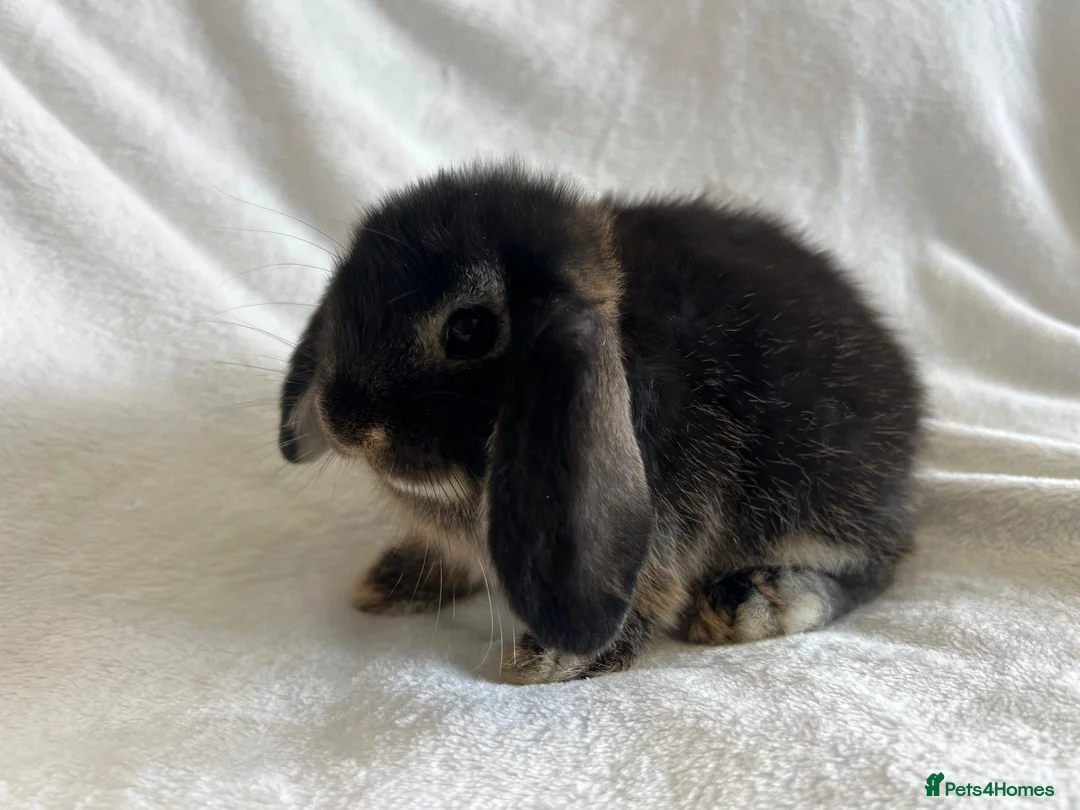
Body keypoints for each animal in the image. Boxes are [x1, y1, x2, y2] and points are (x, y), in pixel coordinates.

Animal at [278, 162, 924, 685]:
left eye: (468, 330)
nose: (343, 422)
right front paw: (390, 582)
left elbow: (645, 591)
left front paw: (550, 662)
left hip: (816, 494)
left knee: (873, 567)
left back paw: (755, 604)